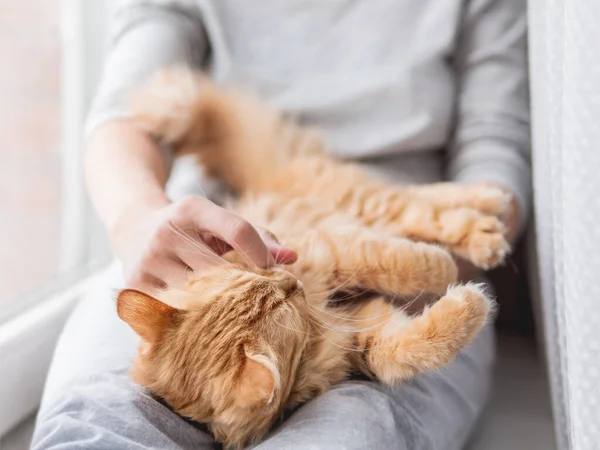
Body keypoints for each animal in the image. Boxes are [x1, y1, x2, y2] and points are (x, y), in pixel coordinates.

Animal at [117, 68, 510, 448]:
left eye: (261, 278)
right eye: (283, 303)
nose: (292, 281)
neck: (317, 327)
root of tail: (272, 177)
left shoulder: (328, 251)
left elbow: (402, 263)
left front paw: (446, 269)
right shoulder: (360, 335)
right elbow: (407, 349)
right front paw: (467, 303)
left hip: (365, 202)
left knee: (425, 203)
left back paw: (489, 214)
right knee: (422, 203)